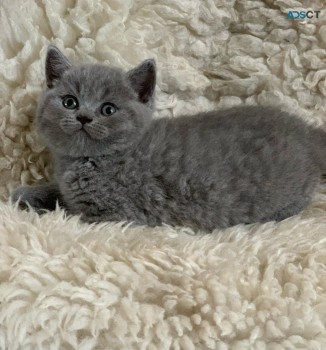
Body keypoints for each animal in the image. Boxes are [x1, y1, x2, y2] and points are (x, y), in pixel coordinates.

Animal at [11, 46, 326, 231]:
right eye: (70, 102)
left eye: (108, 109)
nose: (84, 117)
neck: (89, 161)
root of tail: (307, 130)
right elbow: (57, 192)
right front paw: (25, 194)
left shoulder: (113, 213)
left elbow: (67, 210)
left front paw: (40, 209)